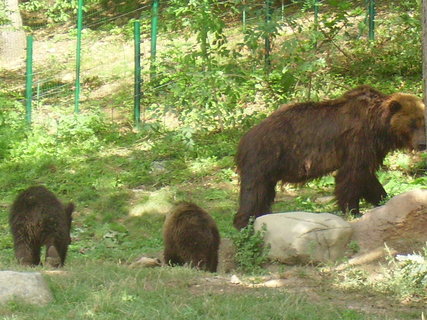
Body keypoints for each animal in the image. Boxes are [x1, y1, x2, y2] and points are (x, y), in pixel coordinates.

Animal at [236, 85, 426, 228]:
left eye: (424, 123)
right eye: (412, 123)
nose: (422, 144)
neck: (379, 127)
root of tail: (244, 138)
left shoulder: (373, 148)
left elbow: (367, 177)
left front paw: (383, 199)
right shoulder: (358, 140)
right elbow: (351, 175)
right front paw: (353, 210)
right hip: (265, 156)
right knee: (254, 191)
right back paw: (244, 222)